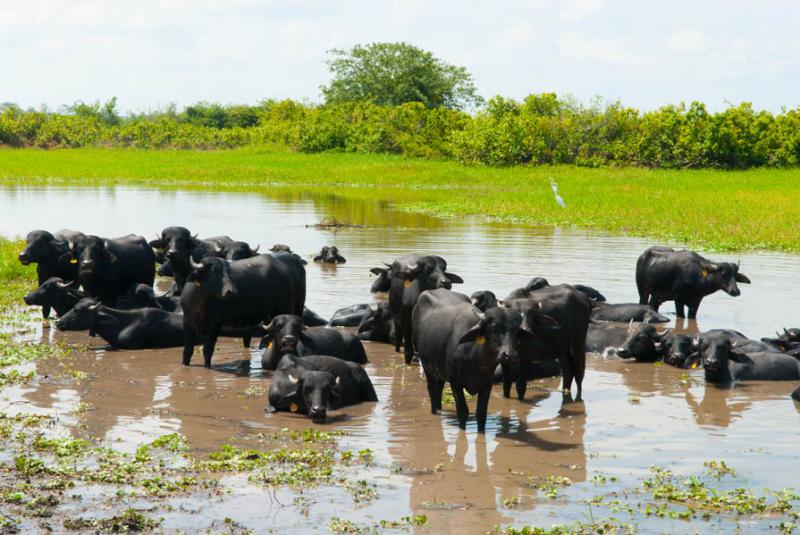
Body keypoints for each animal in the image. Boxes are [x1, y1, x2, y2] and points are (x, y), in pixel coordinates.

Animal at [412, 292, 536, 434]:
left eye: (516, 330)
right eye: (494, 327)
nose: (509, 355)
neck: (477, 360)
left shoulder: (487, 383)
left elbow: (481, 414)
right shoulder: (455, 383)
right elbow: (463, 412)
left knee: (439, 387)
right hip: (427, 366)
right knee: (432, 390)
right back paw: (434, 410)